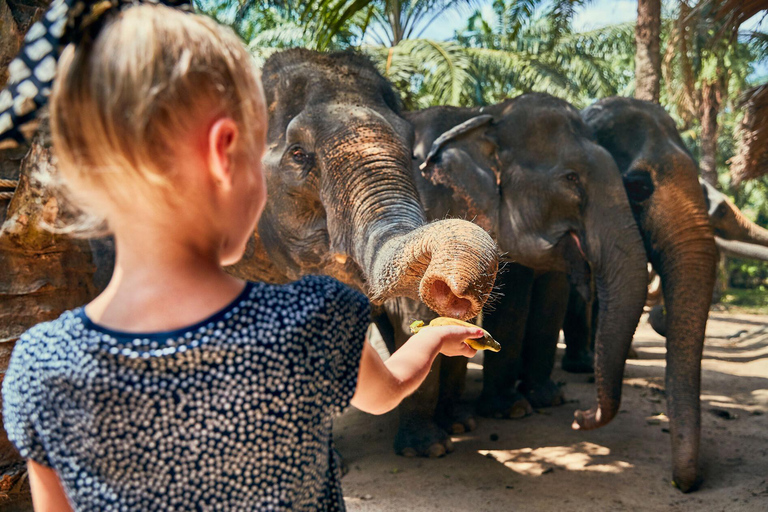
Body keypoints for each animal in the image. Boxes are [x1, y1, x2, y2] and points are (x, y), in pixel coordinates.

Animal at [376, 94, 648, 458]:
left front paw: (477, 420)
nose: (581, 416)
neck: (485, 116)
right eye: (571, 179)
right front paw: (431, 447)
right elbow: (414, 307)